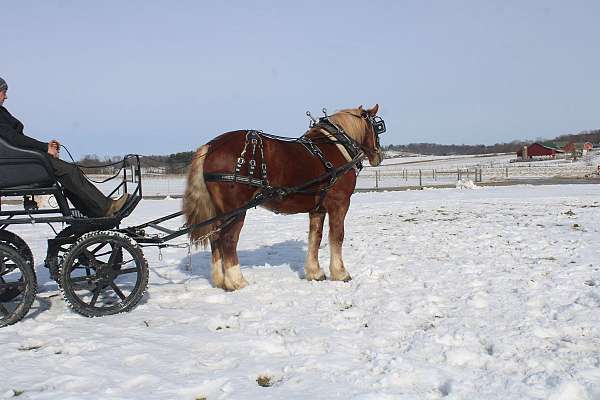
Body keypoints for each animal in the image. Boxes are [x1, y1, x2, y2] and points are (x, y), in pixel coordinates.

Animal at [183, 104, 386, 290]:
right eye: (378, 127)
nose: (379, 155)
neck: (336, 146)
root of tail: (211, 146)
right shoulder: (339, 203)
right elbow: (337, 236)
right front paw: (341, 273)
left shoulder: (318, 209)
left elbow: (315, 237)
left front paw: (315, 272)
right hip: (236, 211)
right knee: (228, 240)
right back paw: (236, 281)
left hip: (220, 212)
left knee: (215, 238)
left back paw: (219, 280)